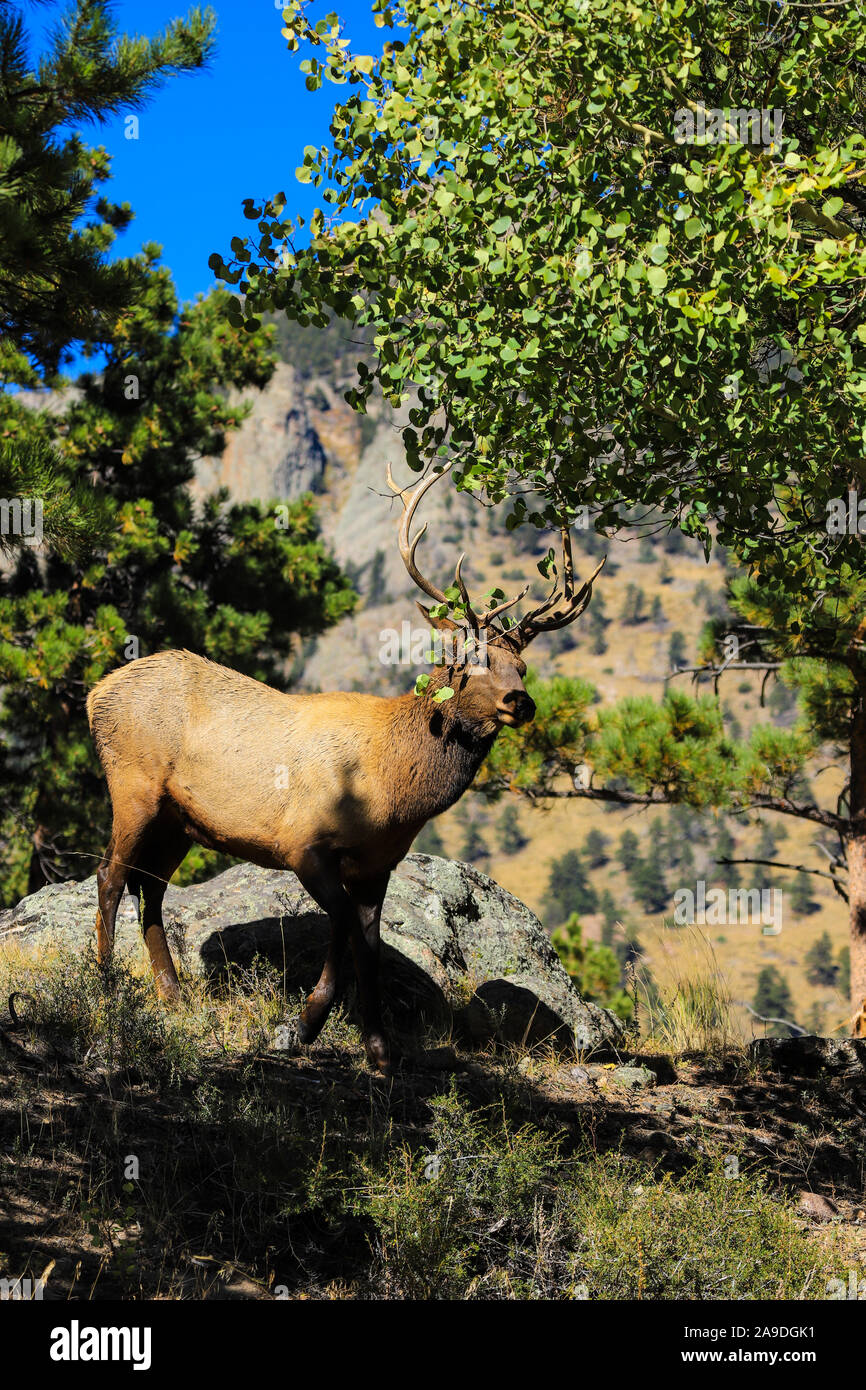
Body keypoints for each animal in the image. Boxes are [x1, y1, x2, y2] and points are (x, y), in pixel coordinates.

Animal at [88, 464, 603, 1061]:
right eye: (470, 661)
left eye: (521, 666)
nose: (521, 701)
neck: (389, 792)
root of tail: (95, 694)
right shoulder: (303, 843)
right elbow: (345, 932)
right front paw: (304, 1026)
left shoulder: (376, 864)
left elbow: (369, 946)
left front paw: (378, 1045)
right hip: (132, 783)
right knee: (110, 876)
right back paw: (105, 987)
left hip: (180, 820)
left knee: (149, 887)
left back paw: (173, 997)